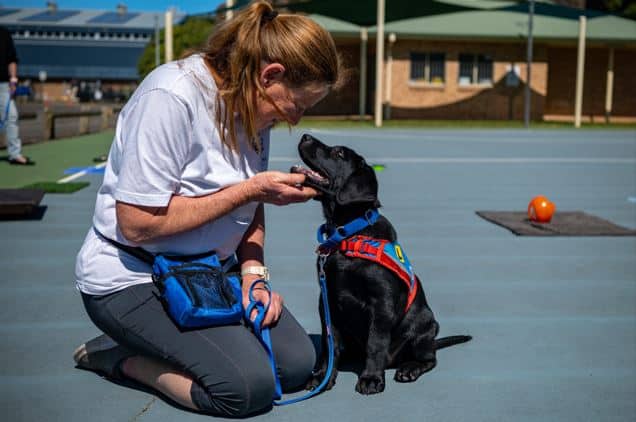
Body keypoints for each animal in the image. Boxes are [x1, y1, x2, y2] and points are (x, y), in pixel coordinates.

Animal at [290, 134, 470, 396]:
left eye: (339, 154)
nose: (305, 135)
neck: (348, 234)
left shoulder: (381, 302)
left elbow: (376, 342)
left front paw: (371, 378)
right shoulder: (327, 300)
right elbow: (328, 342)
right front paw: (323, 376)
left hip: (425, 325)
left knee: (429, 358)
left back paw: (409, 368)